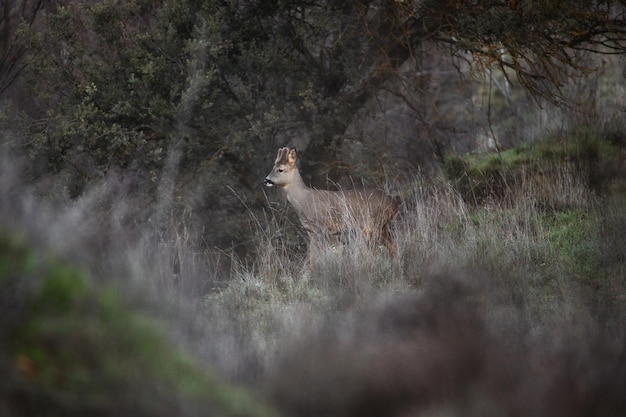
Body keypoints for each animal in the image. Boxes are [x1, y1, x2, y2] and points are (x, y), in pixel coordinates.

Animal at [262, 147, 398, 260]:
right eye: (272, 168)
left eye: (280, 170)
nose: (266, 180)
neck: (303, 200)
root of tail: (394, 203)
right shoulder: (311, 231)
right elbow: (311, 257)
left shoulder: (322, 228)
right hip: (382, 227)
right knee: (393, 248)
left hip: (374, 224)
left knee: (375, 250)